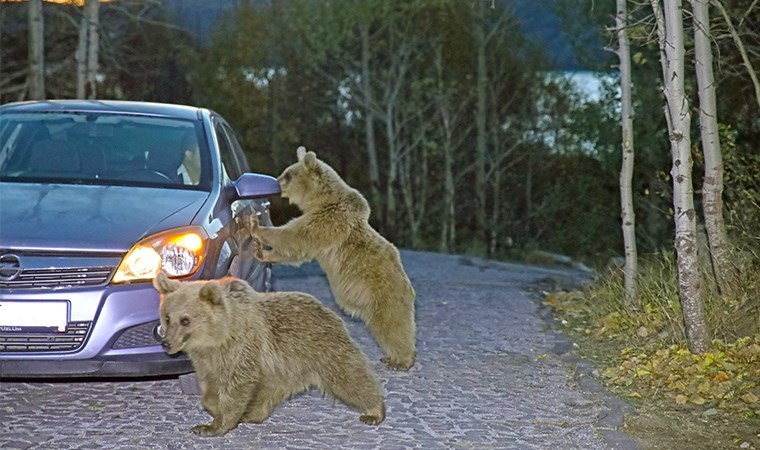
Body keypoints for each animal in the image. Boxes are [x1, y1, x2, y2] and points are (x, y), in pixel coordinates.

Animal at [154, 272, 382, 438]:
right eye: (167, 317)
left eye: (185, 320)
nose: (166, 342)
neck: (218, 338)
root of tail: (328, 309)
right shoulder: (207, 360)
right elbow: (210, 387)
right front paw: (213, 408)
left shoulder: (242, 349)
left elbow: (236, 387)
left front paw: (213, 425)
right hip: (281, 368)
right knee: (267, 392)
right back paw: (251, 414)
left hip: (322, 349)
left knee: (349, 378)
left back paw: (374, 410)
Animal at [240, 146, 416, 370]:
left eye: (288, 174)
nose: (275, 183)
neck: (319, 200)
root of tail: (408, 287)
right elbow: (295, 251)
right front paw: (262, 252)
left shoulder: (326, 221)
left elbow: (294, 236)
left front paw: (256, 226)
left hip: (384, 293)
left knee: (392, 325)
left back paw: (400, 360)